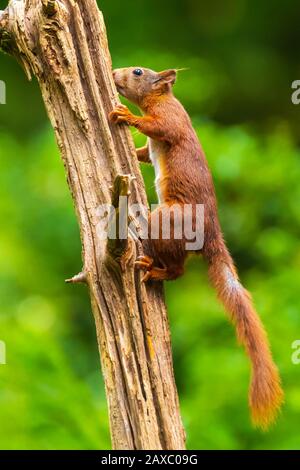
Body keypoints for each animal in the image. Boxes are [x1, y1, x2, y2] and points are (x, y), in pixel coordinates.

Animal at [109, 66, 282, 430]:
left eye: (138, 72)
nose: (116, 72)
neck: (162, 98)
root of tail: (212, 236)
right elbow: (144, 153)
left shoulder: (170, 121)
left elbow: (157, 128)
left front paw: (126, 115)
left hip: (165, 222)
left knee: (179, 270)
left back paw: (154, 269)